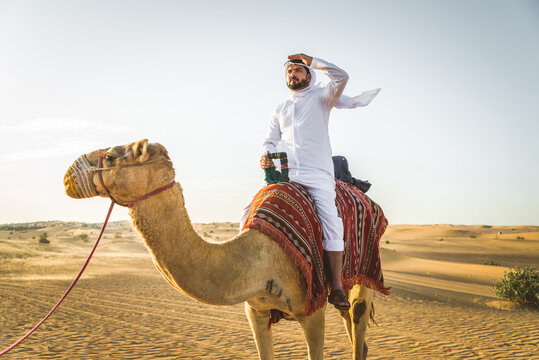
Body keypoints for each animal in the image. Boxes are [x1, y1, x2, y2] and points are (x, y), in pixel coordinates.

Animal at [63, 139, 376, 358]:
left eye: (111, 157)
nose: (67, 176)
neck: (260, 259)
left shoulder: (312, 311)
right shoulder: (256, 311)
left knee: (357, 315)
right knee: (354, 330)